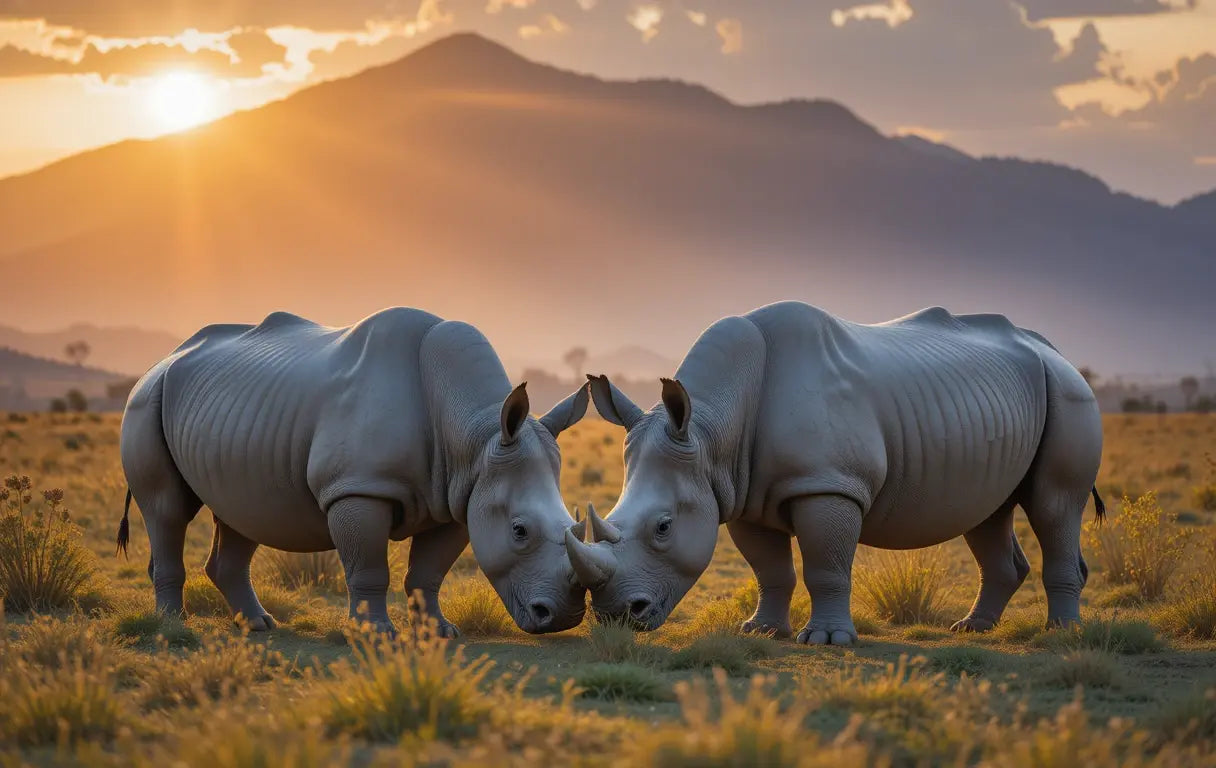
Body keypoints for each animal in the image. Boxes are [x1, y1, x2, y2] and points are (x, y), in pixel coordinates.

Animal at [118, 308, 590, 635]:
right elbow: (368, 566)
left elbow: (428, 572)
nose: (562, 617)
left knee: (239, 512)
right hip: (145, 400)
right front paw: (376, 635)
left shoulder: (461, 493)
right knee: (166, 509)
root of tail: (162, 360)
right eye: (519, 531)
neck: (475, 432)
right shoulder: (358, 488)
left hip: (232, 420)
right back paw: (172, 627)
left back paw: (259, 626)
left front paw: (440, 632)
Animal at [567, 302, 1104, 644]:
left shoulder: (827, 484)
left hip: (1069, 391)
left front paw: (825, 640)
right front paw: (761, 631)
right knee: (986, 513)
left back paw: (1061, 635)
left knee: (1054, 504)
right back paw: (973, 629)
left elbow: (826, 566)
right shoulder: (739, 493)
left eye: (663, 527)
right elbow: (770, 569)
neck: (711, 430)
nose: (618, 616)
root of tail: (1054, 350)